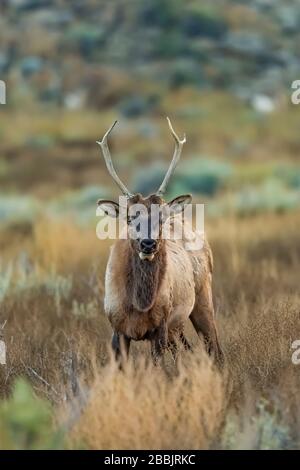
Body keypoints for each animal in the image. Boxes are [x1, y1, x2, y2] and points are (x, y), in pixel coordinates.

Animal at [96, 118, 223, 364]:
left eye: (161, 217)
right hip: (177, 328)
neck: (137, 306)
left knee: (214, 347)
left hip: (203, 296)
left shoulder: (161, 326)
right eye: (129, 217)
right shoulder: (117, 329)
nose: (148, 244)